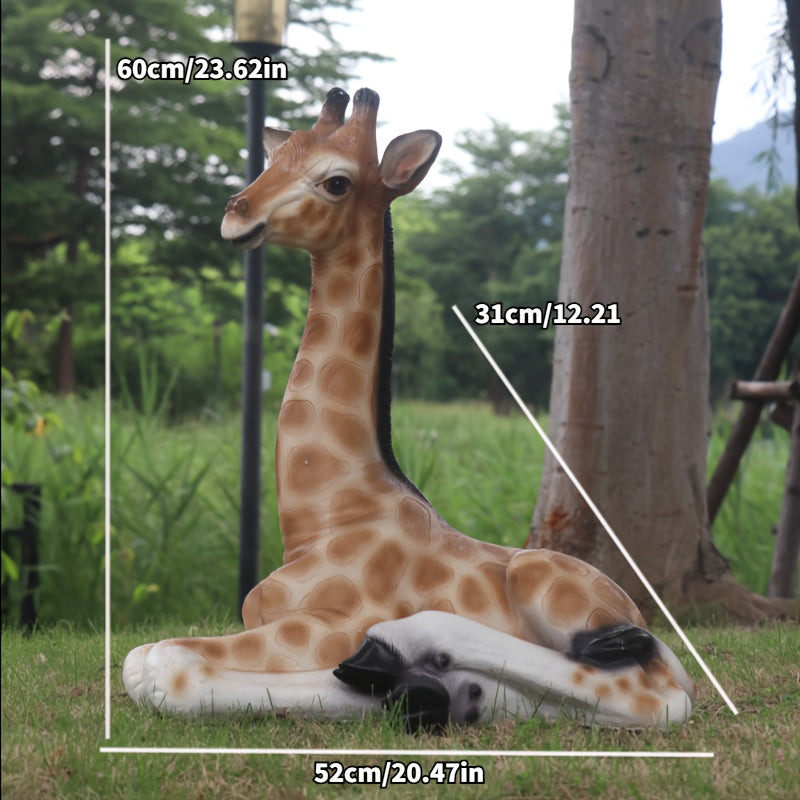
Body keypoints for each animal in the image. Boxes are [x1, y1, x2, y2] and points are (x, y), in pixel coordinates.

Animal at [123, 88, 694, 729]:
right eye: (274, 159)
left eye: (336, 181)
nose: (238, 212)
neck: (324, 517)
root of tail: (643, 617)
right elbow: (143, 660)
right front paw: (414, 689)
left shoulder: (323, 627)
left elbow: (161, 664)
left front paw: (394, 671)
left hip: (547, 581)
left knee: (650, 693)